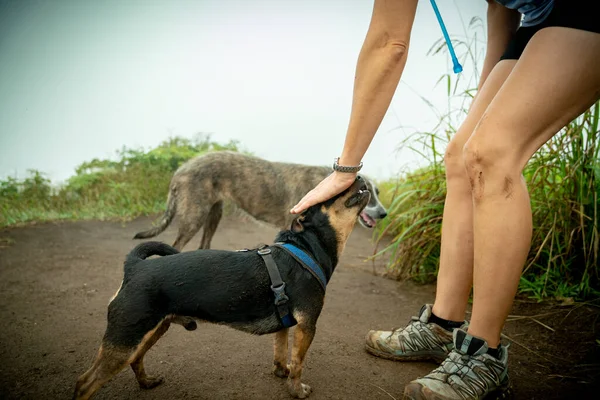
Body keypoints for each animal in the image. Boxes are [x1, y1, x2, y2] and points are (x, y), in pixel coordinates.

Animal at [72, 177, 368, 398]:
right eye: (333, 190)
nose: (359, 175)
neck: (308, 246)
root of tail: (134, 267)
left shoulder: (285, 323)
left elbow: (281, 353)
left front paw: (280, 372)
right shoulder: (308, 325)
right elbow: (298, 364)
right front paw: (296, 390)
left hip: (150, 330)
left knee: (135, 359)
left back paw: (147, 383)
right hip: (125, 338)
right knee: (84, 383)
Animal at [133, 151, 386, 250]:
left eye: (378, 192)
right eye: (367, 193)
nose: (384, 213)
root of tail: (181, 169)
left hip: (214, 213)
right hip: (194, 217)